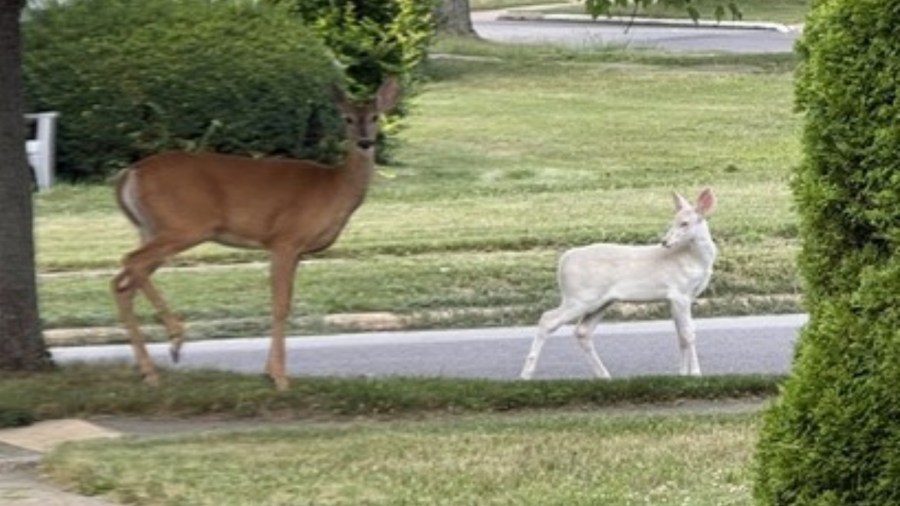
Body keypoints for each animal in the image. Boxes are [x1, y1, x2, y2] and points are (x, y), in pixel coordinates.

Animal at [111, 78, 401, 391]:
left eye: (375, 117)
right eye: (347, 118)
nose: (365, 142)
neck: (335, 187)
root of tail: (131, 173)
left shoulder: (297, 251)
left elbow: (282, 303)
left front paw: (269, 372)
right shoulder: (285, 240)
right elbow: (280, 305)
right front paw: (280, 377)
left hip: (150, 228)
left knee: (123, 282)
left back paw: (150, 371)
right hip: (183, 226)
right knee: (132, 262)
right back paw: (176, 339)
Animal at [520, 188, 717, 380]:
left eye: (684, 223)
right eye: (673, 222)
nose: (665, 242)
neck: (695, 260)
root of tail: (562, 262)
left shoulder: (677, 298)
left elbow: (680, 335)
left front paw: (683, 374)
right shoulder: (679, 293)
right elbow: (688, 334)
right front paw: (696, 374)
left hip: (600, 301)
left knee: (582, 331)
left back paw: (604, 376)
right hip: (579, 296)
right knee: (547, 318)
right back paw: (525, 375)